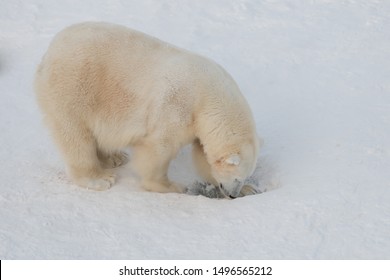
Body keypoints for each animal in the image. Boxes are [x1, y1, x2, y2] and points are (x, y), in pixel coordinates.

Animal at [35, 21, 260, 198]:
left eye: (244, 177)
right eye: (237, 176)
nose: (233, 194)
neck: (207, 95)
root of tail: (49, 51)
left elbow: (203, 157)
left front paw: (250, 189)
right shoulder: (176, 106)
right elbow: (159, 148)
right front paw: (172, 186)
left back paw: (115, 157)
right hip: (74, 88)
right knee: (75, 136)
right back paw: (99, 178)